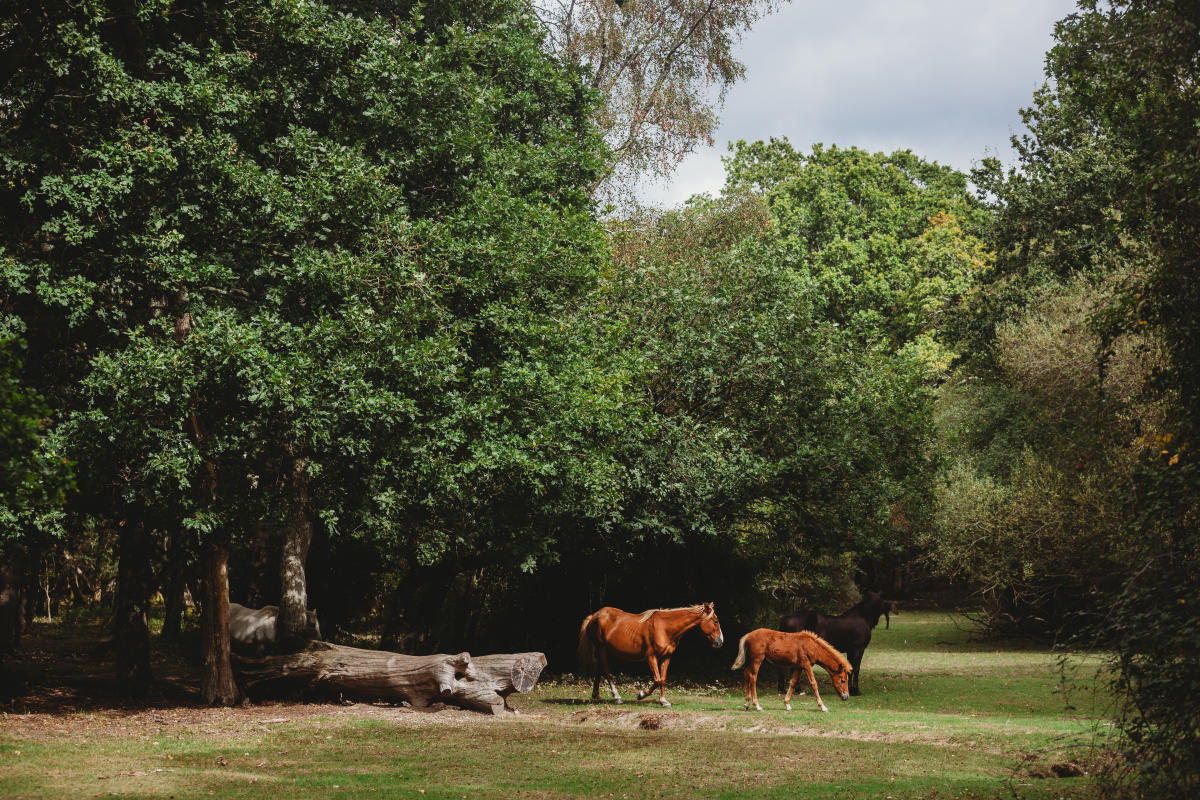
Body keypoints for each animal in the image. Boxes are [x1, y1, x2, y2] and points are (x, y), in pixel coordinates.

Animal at [577, 602, 724, 707]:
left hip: (602, 650)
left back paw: (596, 695)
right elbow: (657, 680)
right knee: (606, 671)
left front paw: (663, 701)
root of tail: (594, 616)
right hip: (601, 648)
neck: (665, 628)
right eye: (715, 621)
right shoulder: (651, 657)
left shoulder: (666, 657)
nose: (720, 642)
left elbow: (663, 679)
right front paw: (641, 695)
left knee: (599, 670)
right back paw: (617, 697)